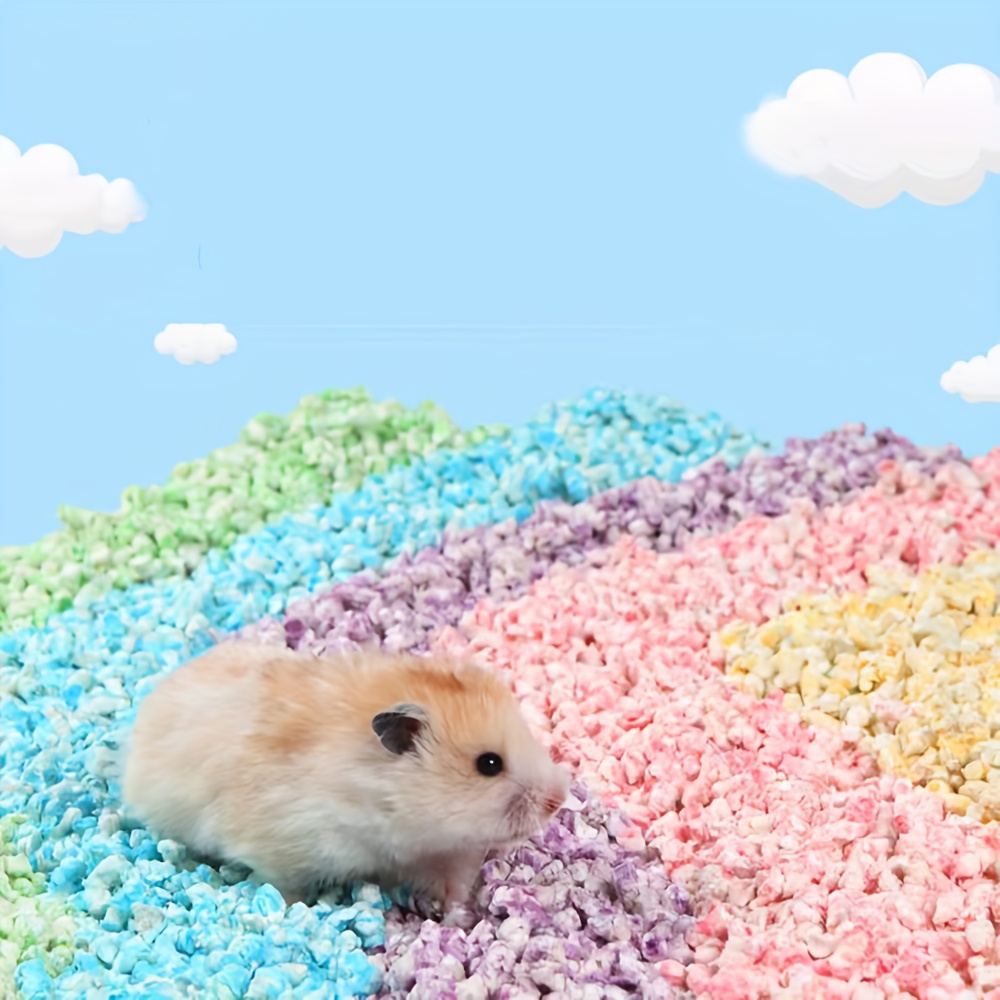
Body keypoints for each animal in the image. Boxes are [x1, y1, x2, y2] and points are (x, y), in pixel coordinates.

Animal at [121, 640, 571, 911]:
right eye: (489, 764)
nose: (559, 799)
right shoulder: (281, 847)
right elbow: (283, 887)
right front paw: (295, 910)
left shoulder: (445, 853)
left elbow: (456, 885)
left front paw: (458, 914)